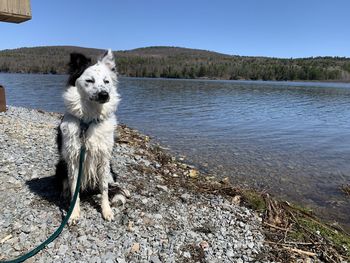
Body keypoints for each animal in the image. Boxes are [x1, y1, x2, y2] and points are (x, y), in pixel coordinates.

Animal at [57, 49, 120, 225]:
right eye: (89, 80)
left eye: (106, 81)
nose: (104, 95)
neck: (89, 120)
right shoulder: (73, 158)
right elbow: (74, 189)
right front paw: (73, 213)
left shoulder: (104, 158)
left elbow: (104, 188)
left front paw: (106, 210)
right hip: (61, 164)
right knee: (64, 183)